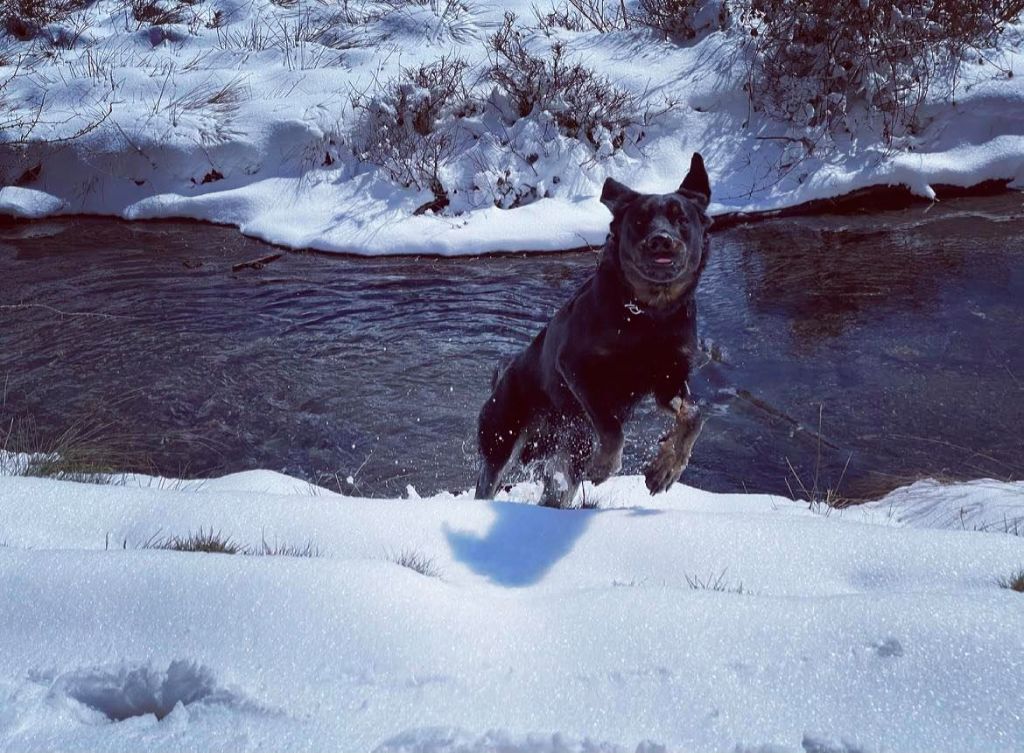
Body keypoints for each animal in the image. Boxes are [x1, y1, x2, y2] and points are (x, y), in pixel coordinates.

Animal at [473, 152, 708, 506]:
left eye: (682, 219)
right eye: (639, 221)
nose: (661, 241)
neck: (648, 315)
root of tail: (502, 374)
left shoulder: (669, 378)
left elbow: (693, 416)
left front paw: (665, 469)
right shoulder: (576, 366)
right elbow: (612, 429)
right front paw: (605, 467)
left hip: (564, 451)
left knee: (555, 494)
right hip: (502, 436)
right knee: (488, 482)